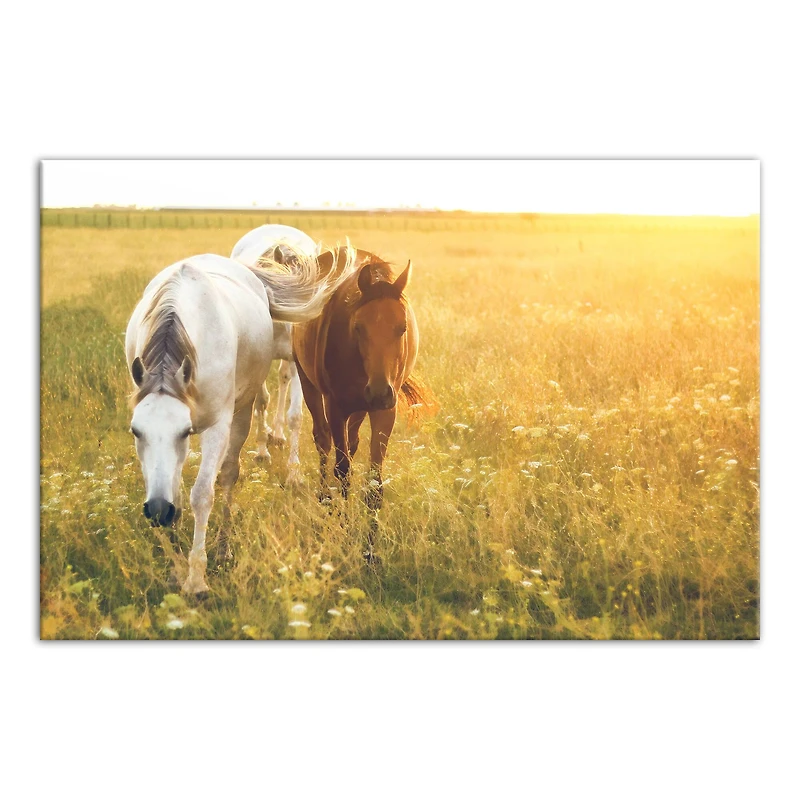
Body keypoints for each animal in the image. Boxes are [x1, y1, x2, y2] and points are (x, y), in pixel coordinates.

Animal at [230, 225, 319, 483]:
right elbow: (261, 402)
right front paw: (262, 453)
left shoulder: (298, 365)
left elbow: (295, 416)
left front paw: (294, 473)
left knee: (283, 379)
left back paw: (278, 435)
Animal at [291, 247, 435, 557]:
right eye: (358, 327)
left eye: (402, 328)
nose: (379, 392)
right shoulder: (336, 407)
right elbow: (343, 472)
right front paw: (345, 533)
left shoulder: (384, 412)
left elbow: (374, 482)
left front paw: (370, 550)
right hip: (308, 382)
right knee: (322, 441)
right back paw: (325, 500)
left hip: (360, 408)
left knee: (352, 441)